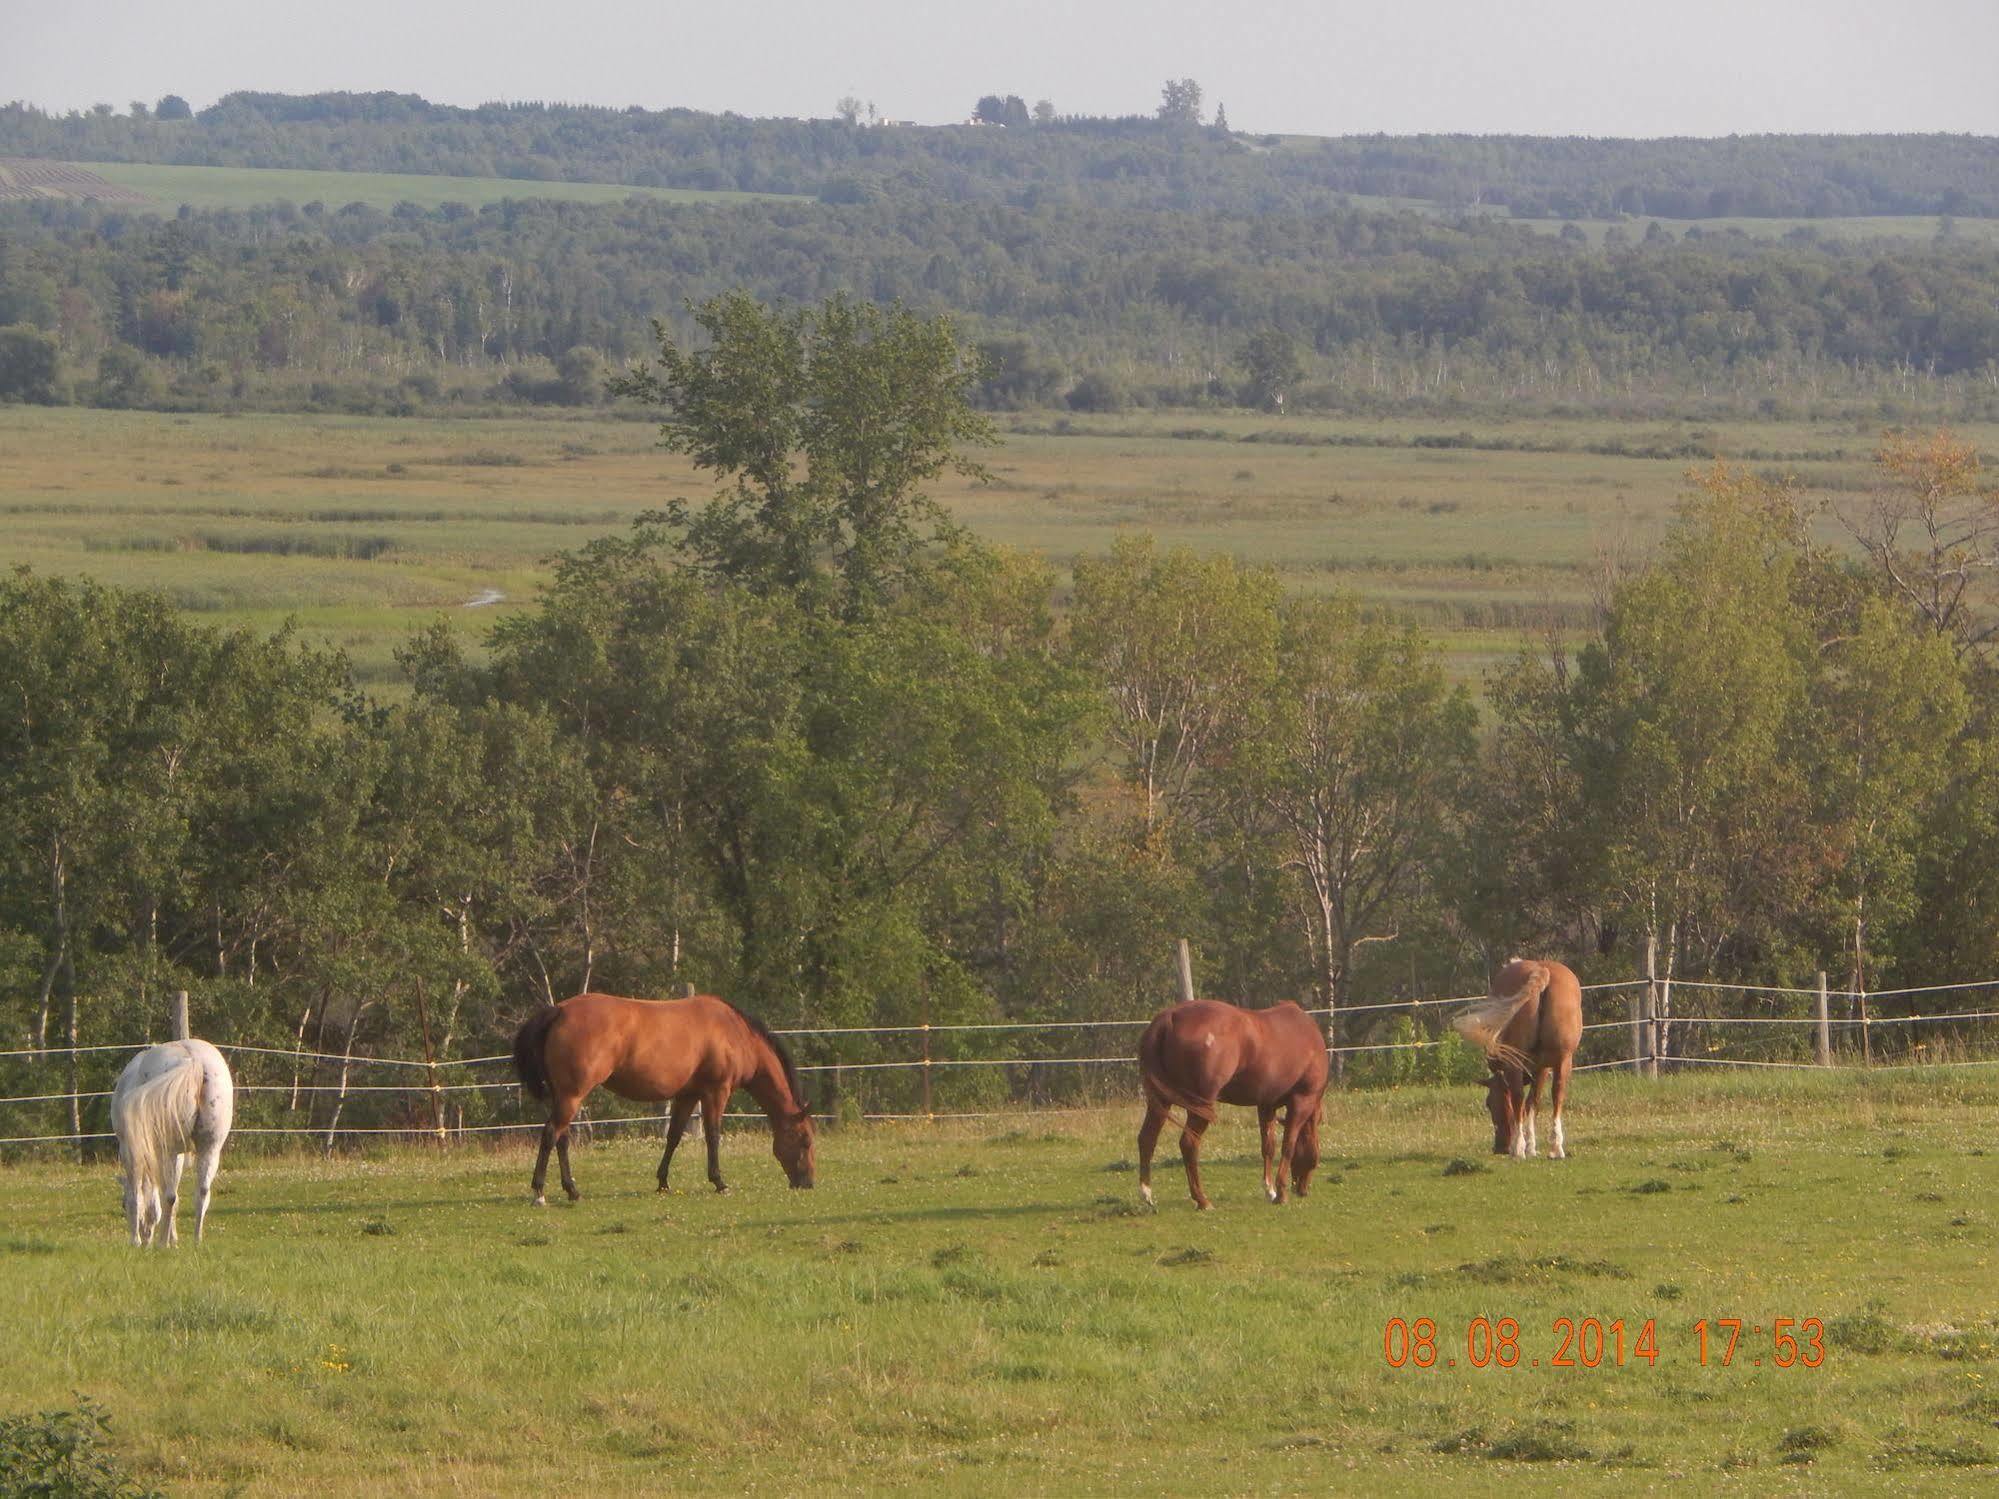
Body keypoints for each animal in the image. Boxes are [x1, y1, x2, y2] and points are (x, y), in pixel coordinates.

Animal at [111, 1039, 233, 1247]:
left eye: (122, 1204)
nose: (146, 1237)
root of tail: (194, 1060)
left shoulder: (130, 1151)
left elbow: (137, 1197)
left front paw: (135, 1240)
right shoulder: (179, 1154)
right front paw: (173, 1239)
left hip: (166, 1150)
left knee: (168, 1195)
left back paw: (161, 1243)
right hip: (209, 1148)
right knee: (200, 1192)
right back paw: (196, 1241)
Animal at [511, 999, 815, 1207]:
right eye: (805, 1141)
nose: (808, 1183)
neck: (734, 1033)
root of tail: (559, 1010)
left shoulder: (687, 1095)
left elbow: (674, 1137)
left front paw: (663, 1182)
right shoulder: (716, 1092)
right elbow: (713, 1136)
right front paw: (719, 1182)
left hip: (564, 1096)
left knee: (561, 1139)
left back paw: (572, 1190)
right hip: (572, 1095)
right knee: (551, 1134)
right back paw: (539, 1192)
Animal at [1143, 1003, 1327, 1215]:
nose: (1303, 1190)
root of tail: (1170, 1016)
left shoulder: (1266, 1105)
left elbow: (1268, 1147)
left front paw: (1270, 1190)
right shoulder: (1301, 1102)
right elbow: (1288, 1145)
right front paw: (1281, 1193)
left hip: (1160, 1101)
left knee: (1147, 1139)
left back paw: (1147, 1196)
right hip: (1199, 1106)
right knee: (1188, 1144)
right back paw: (1202, 1200)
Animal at [1455, 963, 1575, 1159]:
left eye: (1489, 1103)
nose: (1499, 1148)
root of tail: (1542, 970)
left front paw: (1524, 1146)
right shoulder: (1541, 1068)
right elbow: (1533, 1102)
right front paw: (1532, 1147)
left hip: (1516, 1062)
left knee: (1518, 1096)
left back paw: (1517, 1148)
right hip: (1563, 1059)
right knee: (1557, 1093)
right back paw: (1556, 1148)